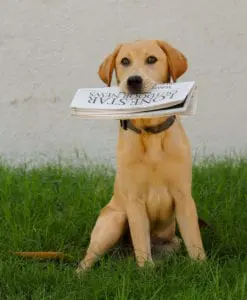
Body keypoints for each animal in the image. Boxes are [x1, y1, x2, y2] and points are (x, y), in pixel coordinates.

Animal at [75, 39, 206, 274]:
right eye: (124, 61)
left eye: (151, 59)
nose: (133, 81)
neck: (150, 134)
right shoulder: (134, 201)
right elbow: (141, 242)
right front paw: (146, 272)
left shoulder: (184, 197)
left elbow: (194, 239)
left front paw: (201, 267)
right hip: (114, 219)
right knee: (88, 257)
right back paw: (79, 275)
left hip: (172, 242)